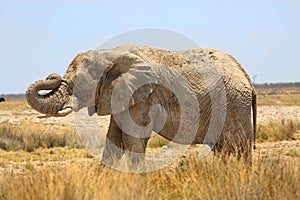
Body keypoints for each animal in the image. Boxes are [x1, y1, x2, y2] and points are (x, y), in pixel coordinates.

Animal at [25, 44, 256, 167]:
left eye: (80, 82)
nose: (52, 76)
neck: (111, 53)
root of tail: (245, 75)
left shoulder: (143, 96)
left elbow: (133, 138)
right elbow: (114, 138)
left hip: (234, 102)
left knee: (238, 146)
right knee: (223, 147)